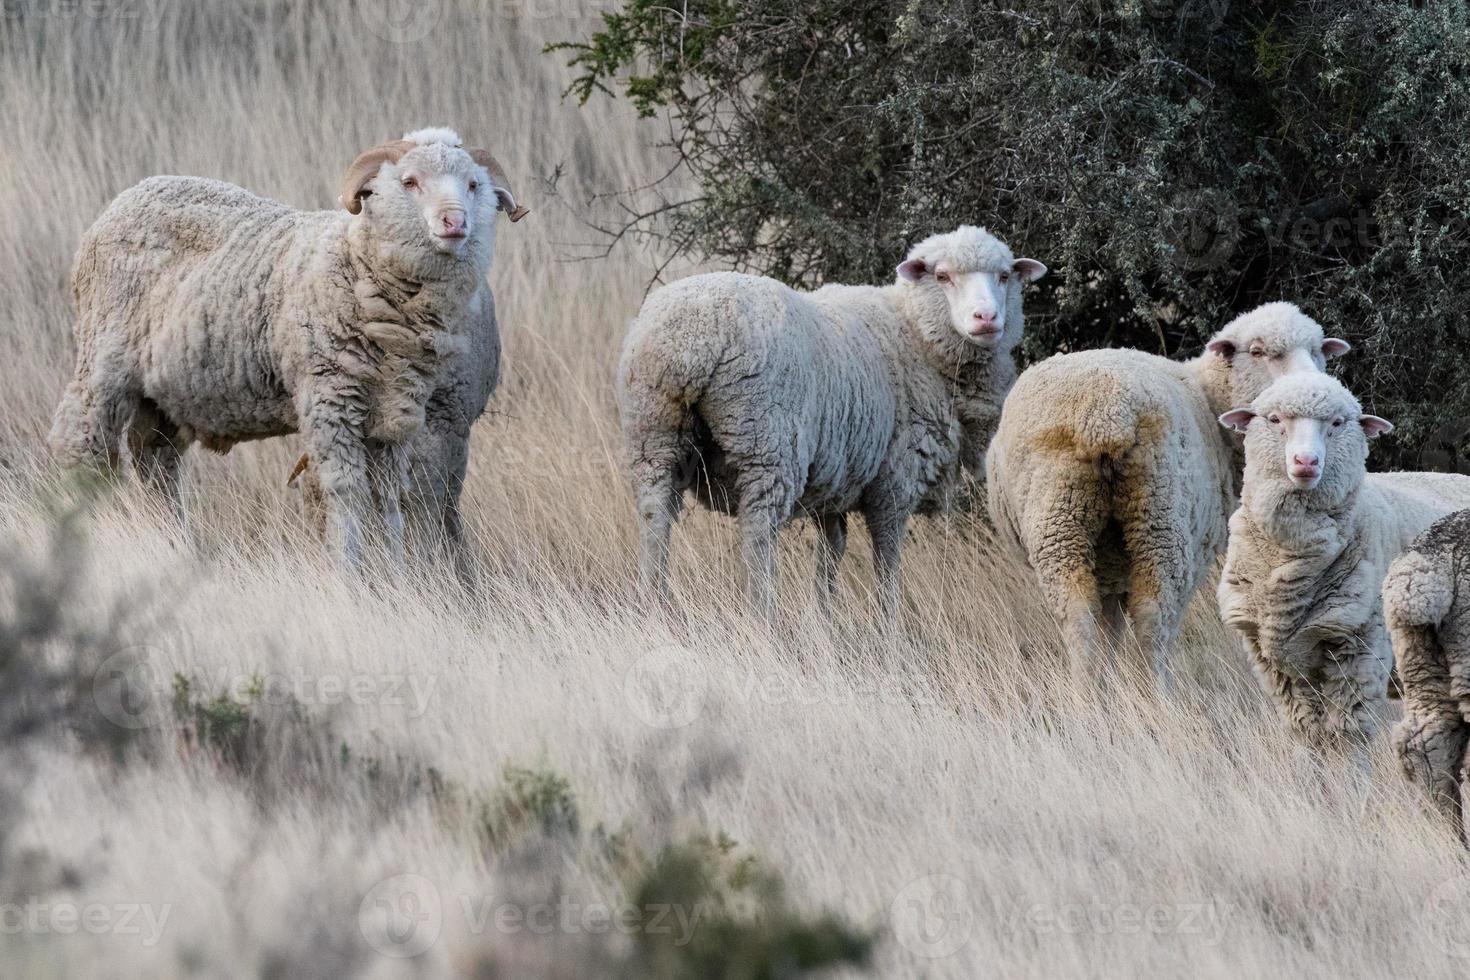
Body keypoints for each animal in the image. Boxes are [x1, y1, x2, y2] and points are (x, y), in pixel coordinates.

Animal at [47, 124, 529, 567]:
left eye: (473, 185)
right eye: (409, 182)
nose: (455, 223)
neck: (358, 264)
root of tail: (127, 197)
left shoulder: (392, 417)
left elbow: (387, 501)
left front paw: (394, 576)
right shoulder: (330, 400)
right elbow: (346, 494)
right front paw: (346, 574)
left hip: (164, 397)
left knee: (156, 467)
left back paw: (172, 543)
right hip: (103, 360)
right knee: (80, 449)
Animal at [617, 226, 1046, 617]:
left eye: (1004, 276)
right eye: (942, 276)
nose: (986, 317)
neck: (914, 335)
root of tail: (689, 341)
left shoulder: (838, 477)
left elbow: (832, 550)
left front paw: (824, 615)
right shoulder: (895, 477)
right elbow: (886, 555)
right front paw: (888, 624)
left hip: (653, 432)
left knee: (655, 516)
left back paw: (653, 603)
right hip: (764, 442)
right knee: (757, 534)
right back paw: (762, 615)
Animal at [981, 302, 1346, 693]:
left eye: (1317, 351)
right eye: (1259, 352)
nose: (1311, 389)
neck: (1211, 406)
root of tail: (1106, 415)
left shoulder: (1111, 569)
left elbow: (1109, 629)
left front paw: (1105, 686)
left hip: (1060, 517)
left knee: (1078, 613)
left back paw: (1084, 693)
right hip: (1161, 518)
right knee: (1154, 617)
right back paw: (1158, 692)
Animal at [1211, 376, 1470, 758]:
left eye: (1336, 423)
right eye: (1273, 419)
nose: (1306, 461)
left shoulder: (1360, 645)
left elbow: (1348, 736)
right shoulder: (1276, 661)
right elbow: (1308, 733)